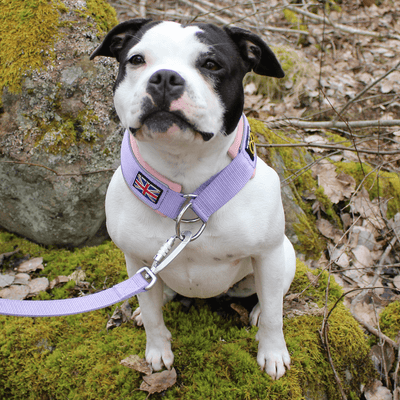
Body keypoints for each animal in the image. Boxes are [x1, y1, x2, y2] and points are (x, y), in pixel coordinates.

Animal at [91, 19, 296, 382]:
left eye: (211, 64)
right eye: (137, 59)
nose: (164, 77)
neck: (187, 190)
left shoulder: (268, 254)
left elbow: (274, 313)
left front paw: (272, 353)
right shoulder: (136, 260)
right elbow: (152, 316)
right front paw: (157, 351)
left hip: (285, 256)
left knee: (271, 296)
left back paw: (256, 312)